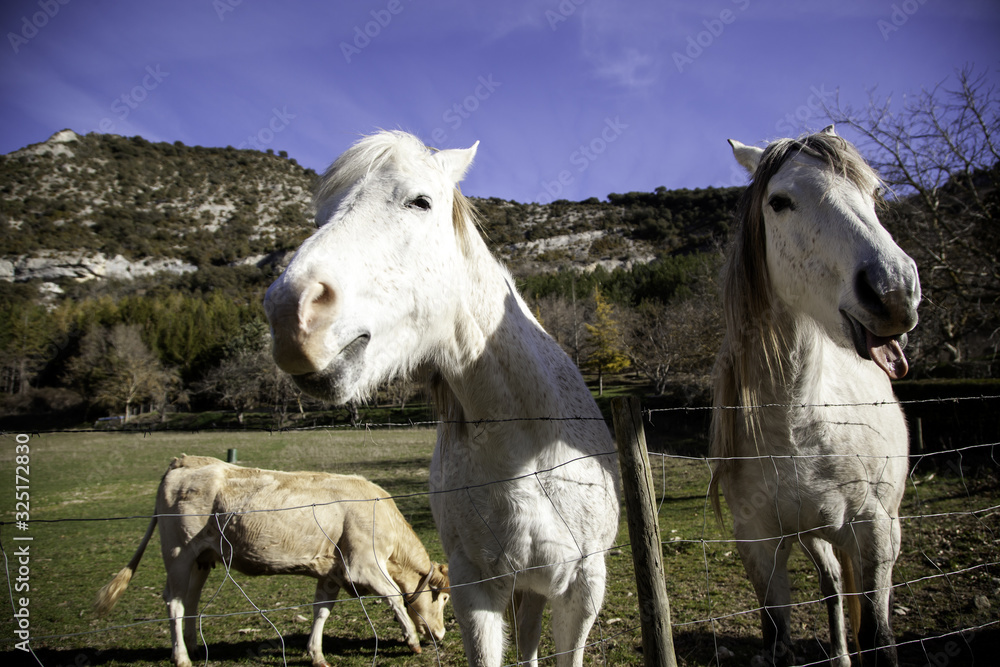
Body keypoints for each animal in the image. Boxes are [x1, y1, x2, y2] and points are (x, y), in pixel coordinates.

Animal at [263, 130, 620, 667]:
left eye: (420, 201)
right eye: (319, 218)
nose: (290, 314)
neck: (526, 447)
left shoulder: (583, 588)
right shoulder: (478, 590)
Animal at [709, 126, 920, 667]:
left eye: (874, 193)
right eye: (780, 202)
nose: (894, 292)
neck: (798, 421)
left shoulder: (875, 532)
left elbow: (880, 636)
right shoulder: (760, 546)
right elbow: (778, 638)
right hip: (811, 537)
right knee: (831, 584)